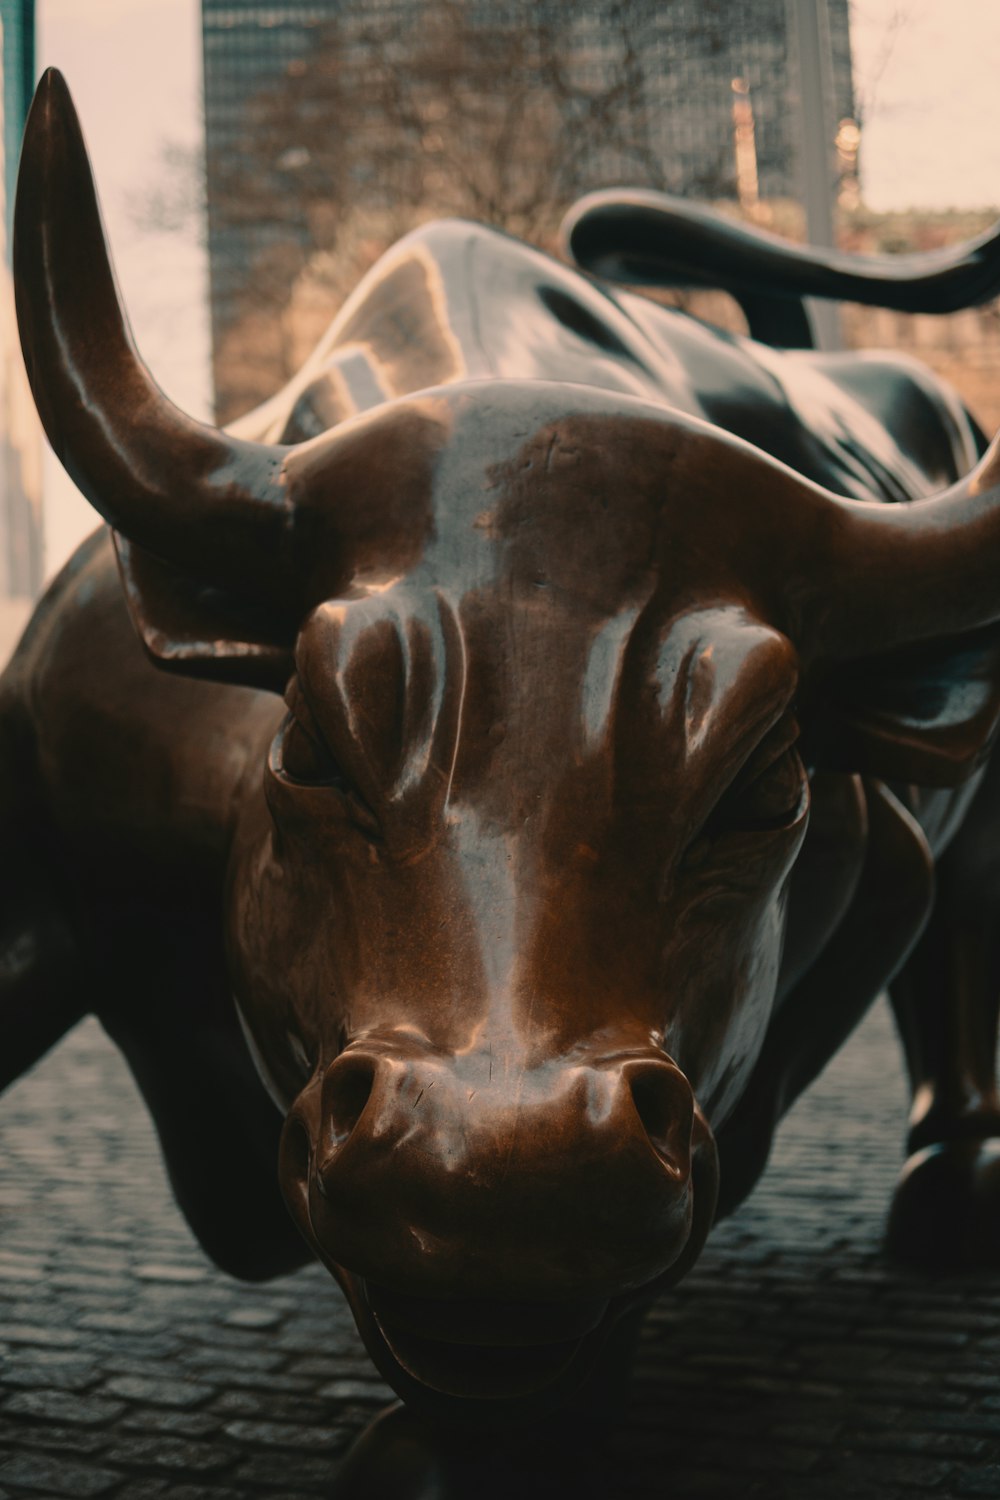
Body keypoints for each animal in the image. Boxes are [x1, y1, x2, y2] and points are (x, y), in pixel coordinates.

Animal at [5, 70, 1000, 1464]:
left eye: (765, 788)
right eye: (307, 743)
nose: (498, 1154)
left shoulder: (857, 915)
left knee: (968, 925)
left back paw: (954, 1181)